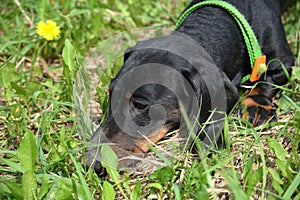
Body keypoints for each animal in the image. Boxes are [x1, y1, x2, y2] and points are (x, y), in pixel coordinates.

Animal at [85, 0, 294, 173]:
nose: (91, 164)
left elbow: (266, 79)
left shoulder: (283, 62)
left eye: (141, 104)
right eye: (111, 94)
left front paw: (257, 105)